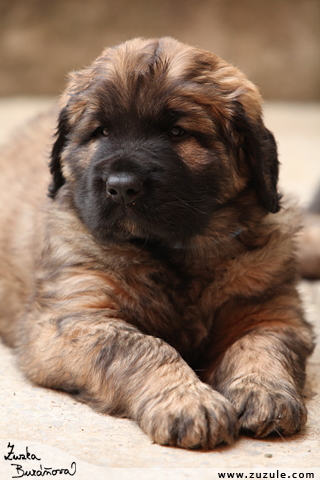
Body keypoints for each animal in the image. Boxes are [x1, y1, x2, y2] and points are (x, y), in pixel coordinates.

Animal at [0, 37, 316, 450]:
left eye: (177, 132)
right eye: (101, 132)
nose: (121, 186)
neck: (174, 254)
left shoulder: (269, 311)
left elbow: (261, 344)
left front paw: (264, 389)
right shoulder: (72, 319)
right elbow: (140, 347)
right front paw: (189, 402)